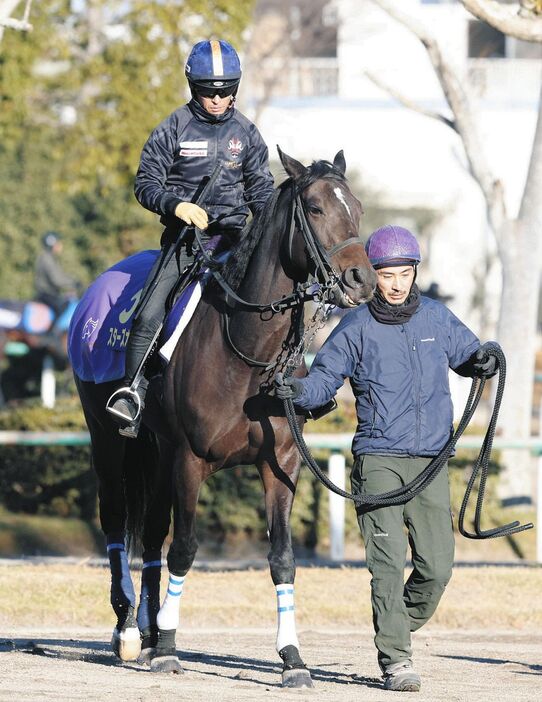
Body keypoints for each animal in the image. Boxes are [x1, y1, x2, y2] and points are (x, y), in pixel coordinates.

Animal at [69, 148, 378, 688]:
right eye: (315, 208)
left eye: (356, 207)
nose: (362, 280)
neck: (246, 353)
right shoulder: (190, 461)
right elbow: (185, 548)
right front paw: (169, 648)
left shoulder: (280, 466)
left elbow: (282, 559)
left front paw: (292, 658)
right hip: (109, 442)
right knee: (115, 520)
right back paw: (128, 629)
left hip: (156, 454)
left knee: (151, 531)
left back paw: (148, 630)